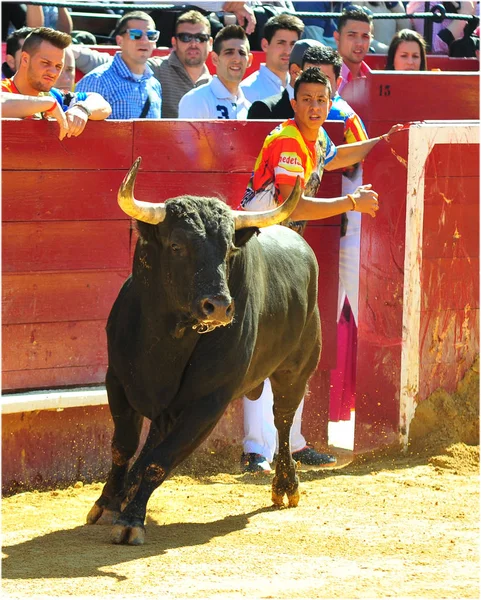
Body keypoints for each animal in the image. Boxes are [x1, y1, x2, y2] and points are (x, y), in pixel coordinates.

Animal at [88, 158, 320, 544]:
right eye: (177, 245)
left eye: (228, 250)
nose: (220, 306)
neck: (165, 338)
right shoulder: (118, 380)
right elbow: (123, 445)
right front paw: (108, 503)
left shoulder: (209, 400)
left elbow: (161, 459)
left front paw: (132, 519)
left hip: (296, 371)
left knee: (283, 421)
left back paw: (286, 486)